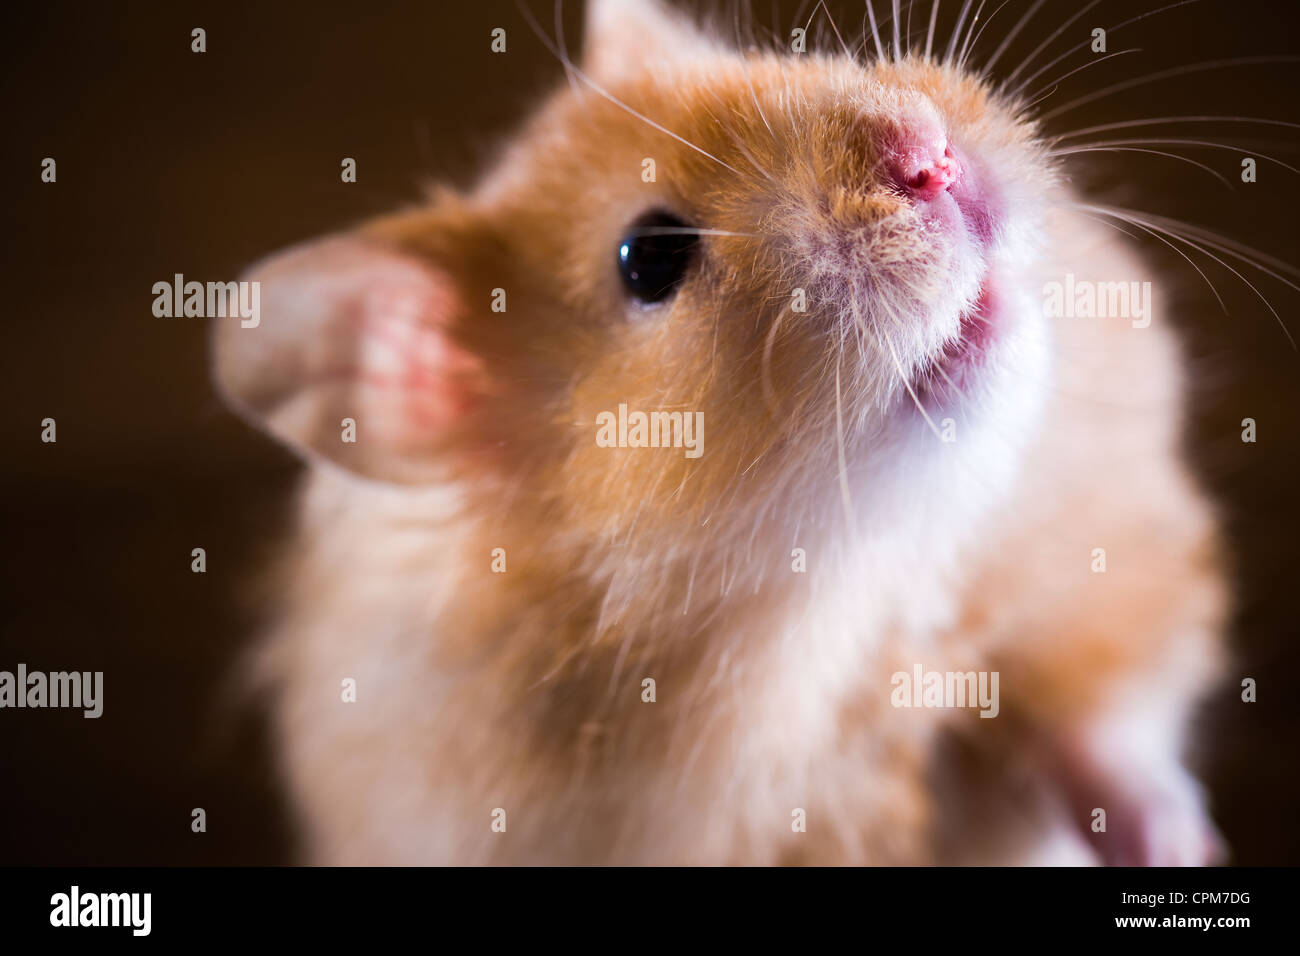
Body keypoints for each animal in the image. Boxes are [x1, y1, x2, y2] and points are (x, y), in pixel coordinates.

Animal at [212, 0, 1227, 865]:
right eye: (649, 257)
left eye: (776, 62)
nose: (930, 160)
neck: (862, 579)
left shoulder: (1106, 574)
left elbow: (1111, 720)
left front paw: (1180, 846)